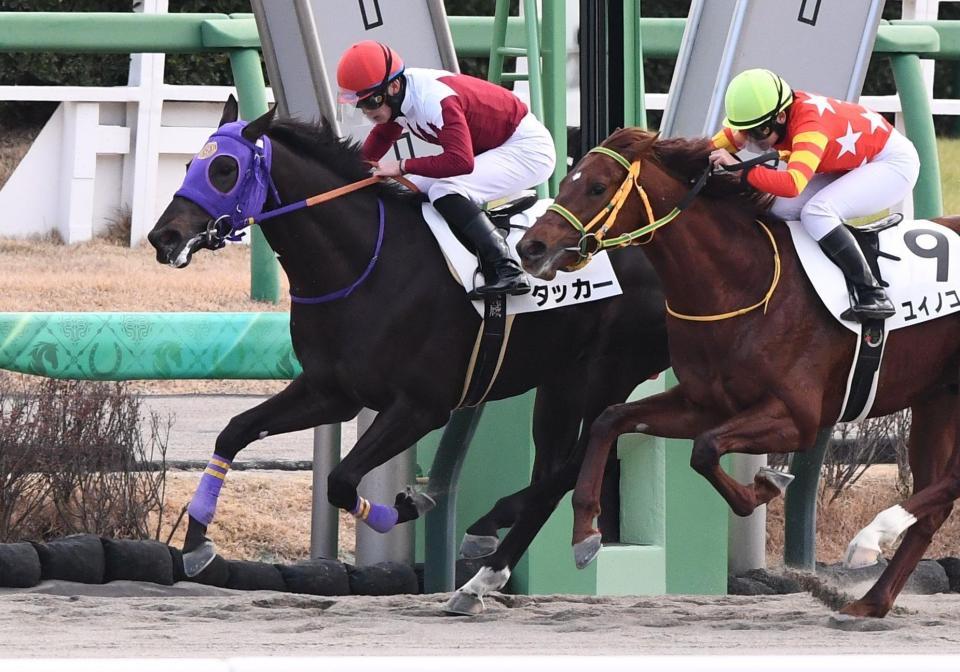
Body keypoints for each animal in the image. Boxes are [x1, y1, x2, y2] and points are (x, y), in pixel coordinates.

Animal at [148, 98, 668, 608]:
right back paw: (484, 566)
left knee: (581, 456)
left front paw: (407, 504)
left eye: (224, 169)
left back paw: (494, 537)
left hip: (615, 368)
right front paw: (195, 545)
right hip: (562, 379)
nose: (163, 237)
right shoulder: (331, 391)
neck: (367, 263)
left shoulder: (422, 407)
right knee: (558, 465)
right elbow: (235, 431)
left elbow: (341, 479)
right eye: (191, 164)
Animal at [520, 127, 960, 620]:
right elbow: (609, 420)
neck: (742, 282)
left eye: (596, 187)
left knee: (950, 483)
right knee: (936, 503)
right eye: (565, 182)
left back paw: (870, 539)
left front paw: (767, 484)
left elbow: (706, 449)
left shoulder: (798, 418)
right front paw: (584, 534)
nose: (530, 248)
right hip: (936, 400)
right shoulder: (702, 403)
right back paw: (870, 601)